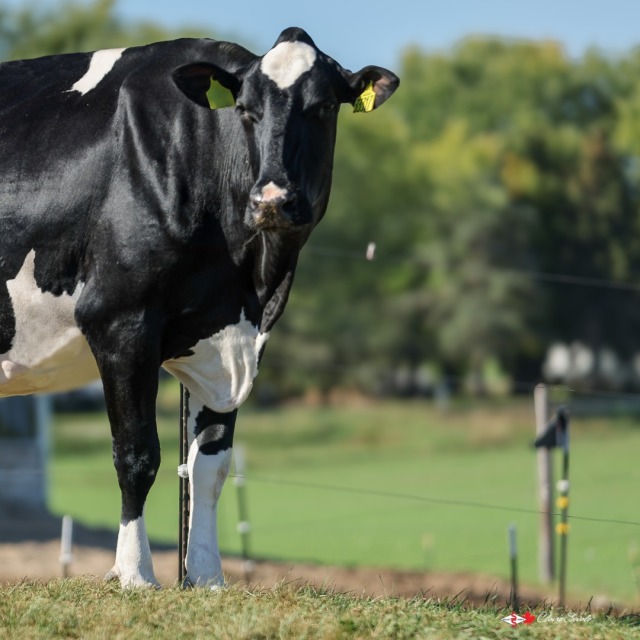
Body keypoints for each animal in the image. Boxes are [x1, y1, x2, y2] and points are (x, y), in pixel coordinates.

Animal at [0, 28, 398, 592]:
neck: (252, 280)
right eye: (246, 109)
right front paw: (135, 573)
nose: (271, 199)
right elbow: (137, 455)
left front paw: (207, 576)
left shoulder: (230, 339)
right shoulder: (119, 320)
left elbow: (209, 467)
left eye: (323, 106)